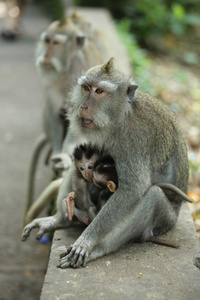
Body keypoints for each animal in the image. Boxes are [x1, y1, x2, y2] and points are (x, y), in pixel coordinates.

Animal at [21, 57, 189, 268]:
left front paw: (86, 242)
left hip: (166, 221)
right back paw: (60, 220)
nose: (83, 107)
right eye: (86, 88)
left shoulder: (136, 138)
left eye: (99, 91)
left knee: (153, 196)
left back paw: (98, 250)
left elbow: (132, 189)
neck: (122, 116)